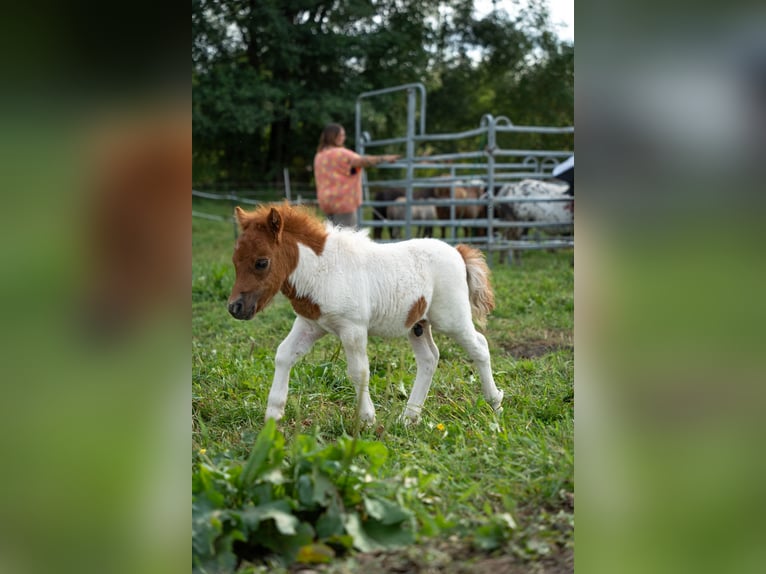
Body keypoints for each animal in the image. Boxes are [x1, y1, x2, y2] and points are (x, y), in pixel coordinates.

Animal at [228, 205, 504, 426]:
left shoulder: (353, 329)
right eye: (234, 261)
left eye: (262, 262)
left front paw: (367, 419)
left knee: (480, 346)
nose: (235, 308)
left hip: (452, 319)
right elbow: (283, 355)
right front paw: (273, 415)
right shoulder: (310, 324)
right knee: (429, 359)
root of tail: (458, 252)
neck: (323, 270)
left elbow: (358, 371)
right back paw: (409, 417)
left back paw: (495, 403)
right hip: (418, 324)